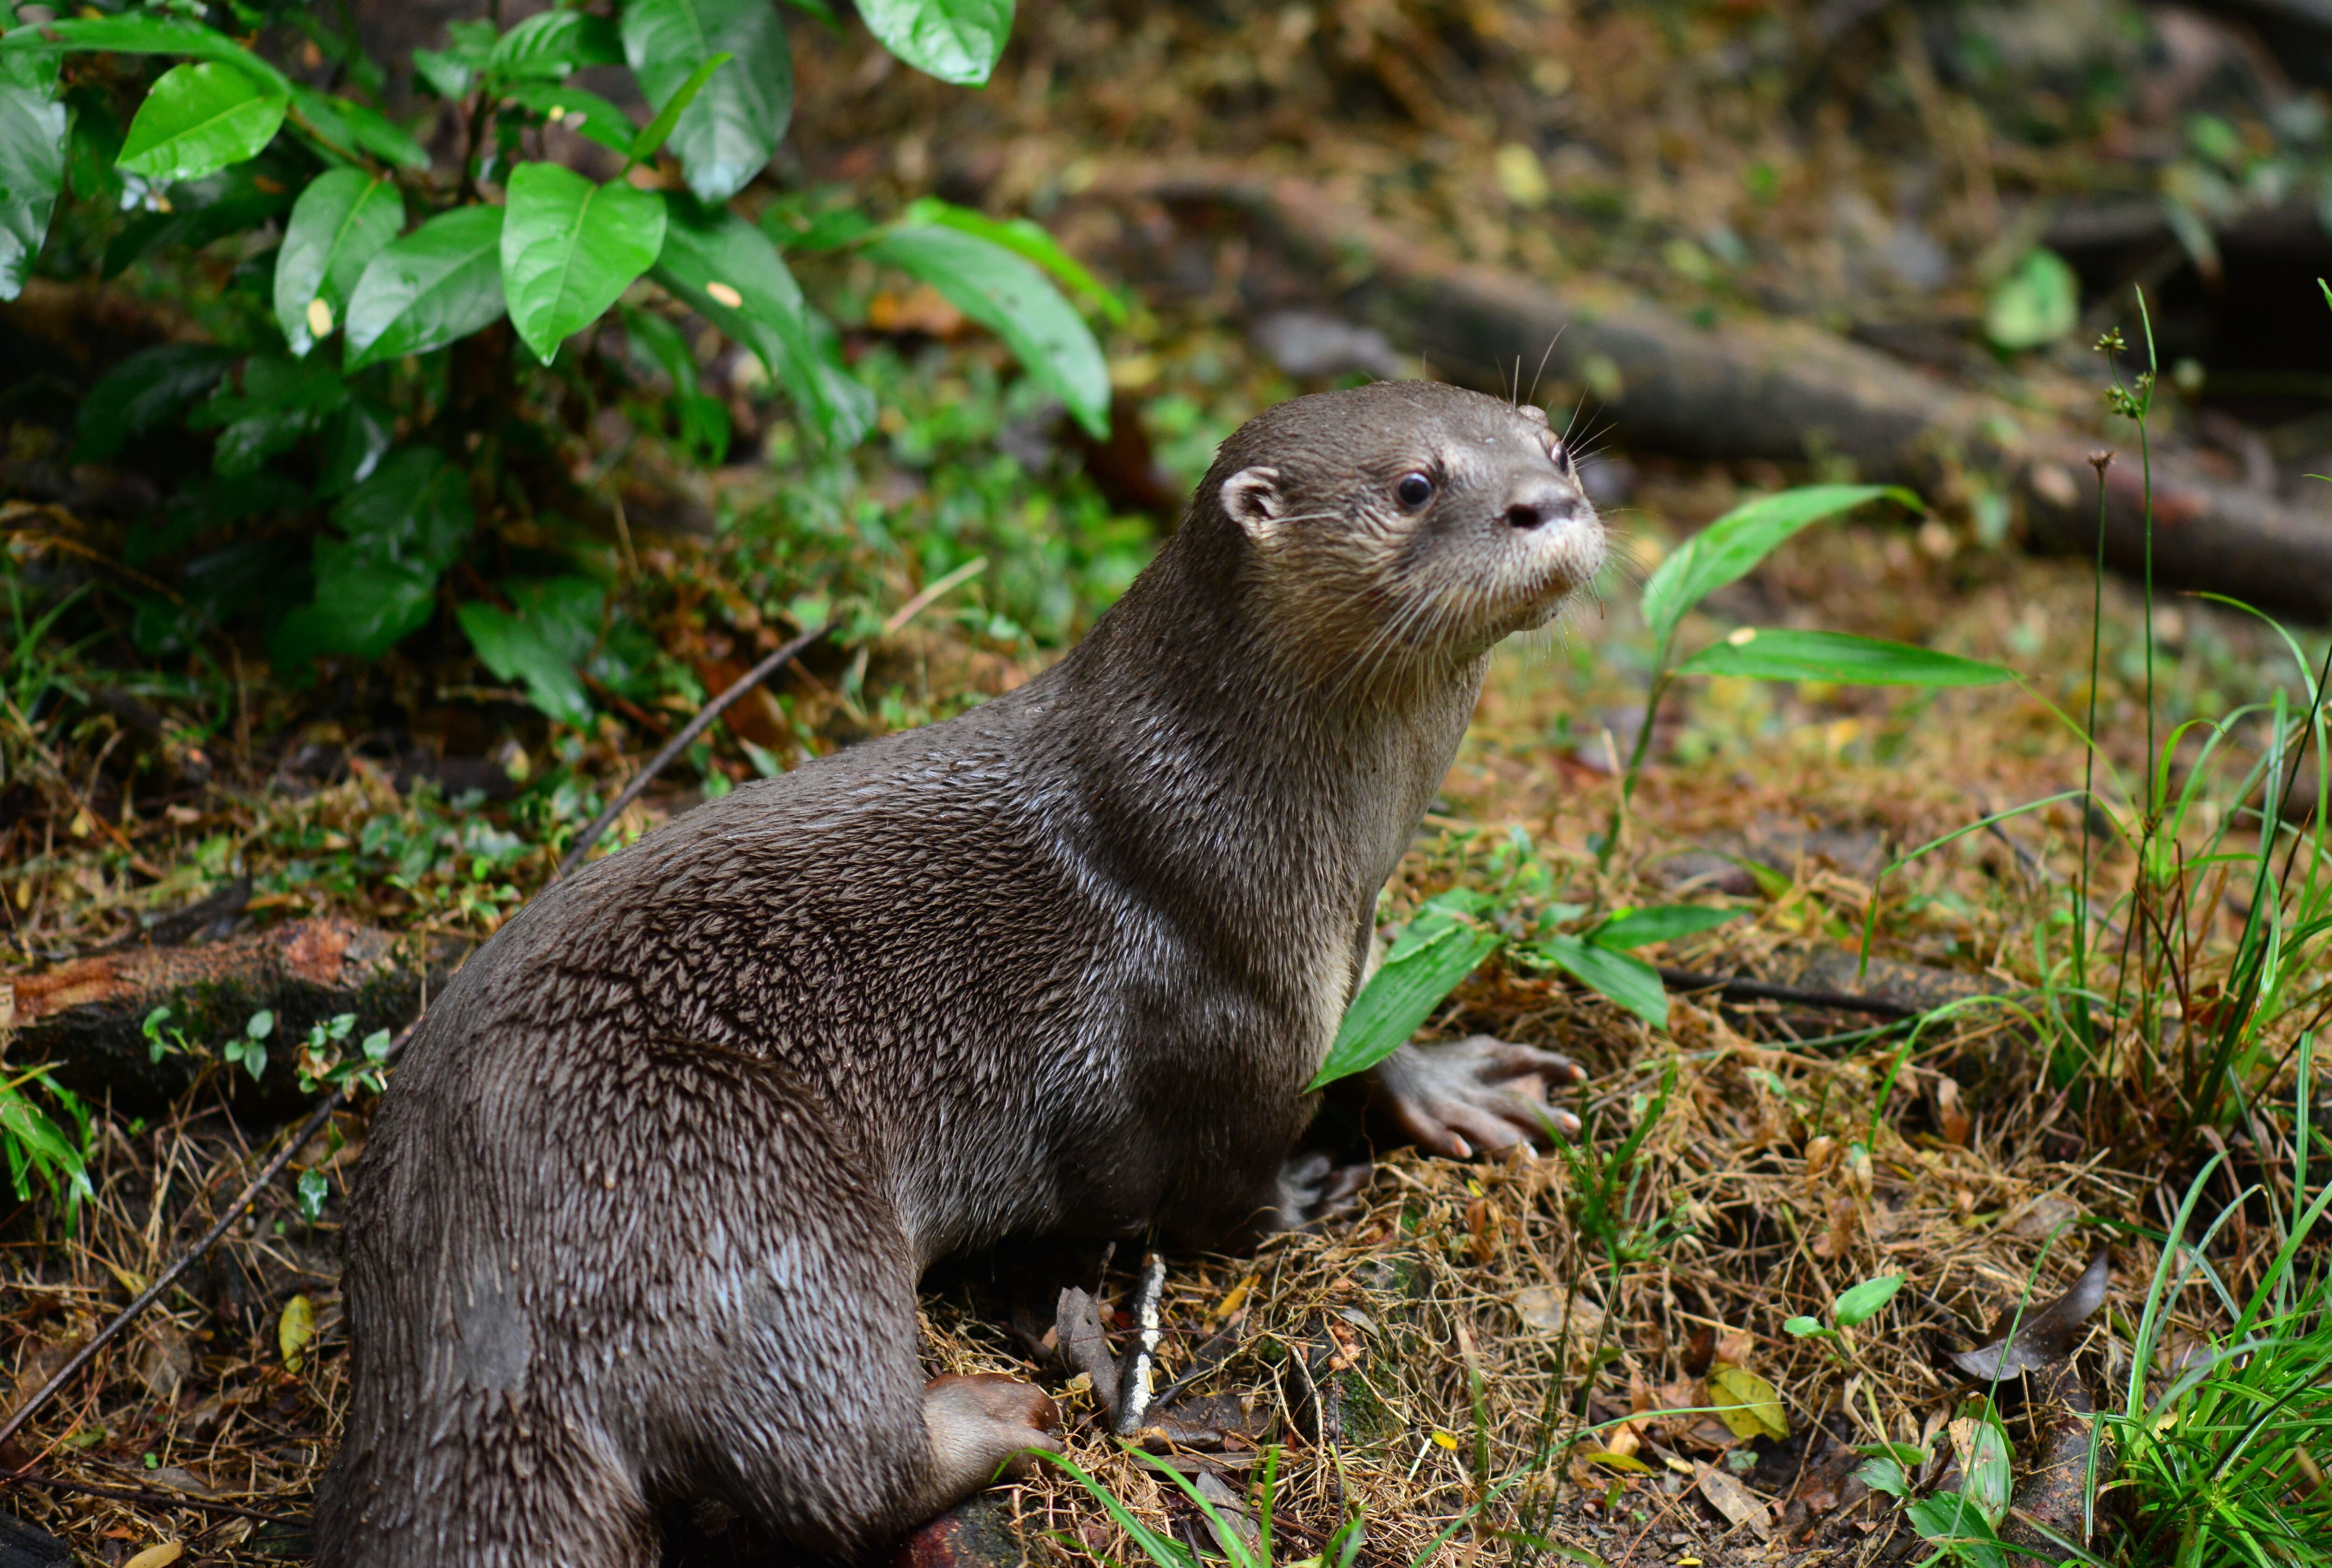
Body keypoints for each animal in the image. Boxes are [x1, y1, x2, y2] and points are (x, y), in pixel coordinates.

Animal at [319, 382, 1604, 1568]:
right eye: (1415, 486)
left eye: (1550, 447)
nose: (1548, 502)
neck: (1242, 833)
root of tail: (467, 1295)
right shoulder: (1224, 1018)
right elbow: (1221, 1200)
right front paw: (1309, 1192)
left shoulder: (1335, 962)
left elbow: (1373, 1031)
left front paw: (1452, 1084)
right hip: (742, 1189)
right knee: (832, 1469)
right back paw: (1001, 1413)